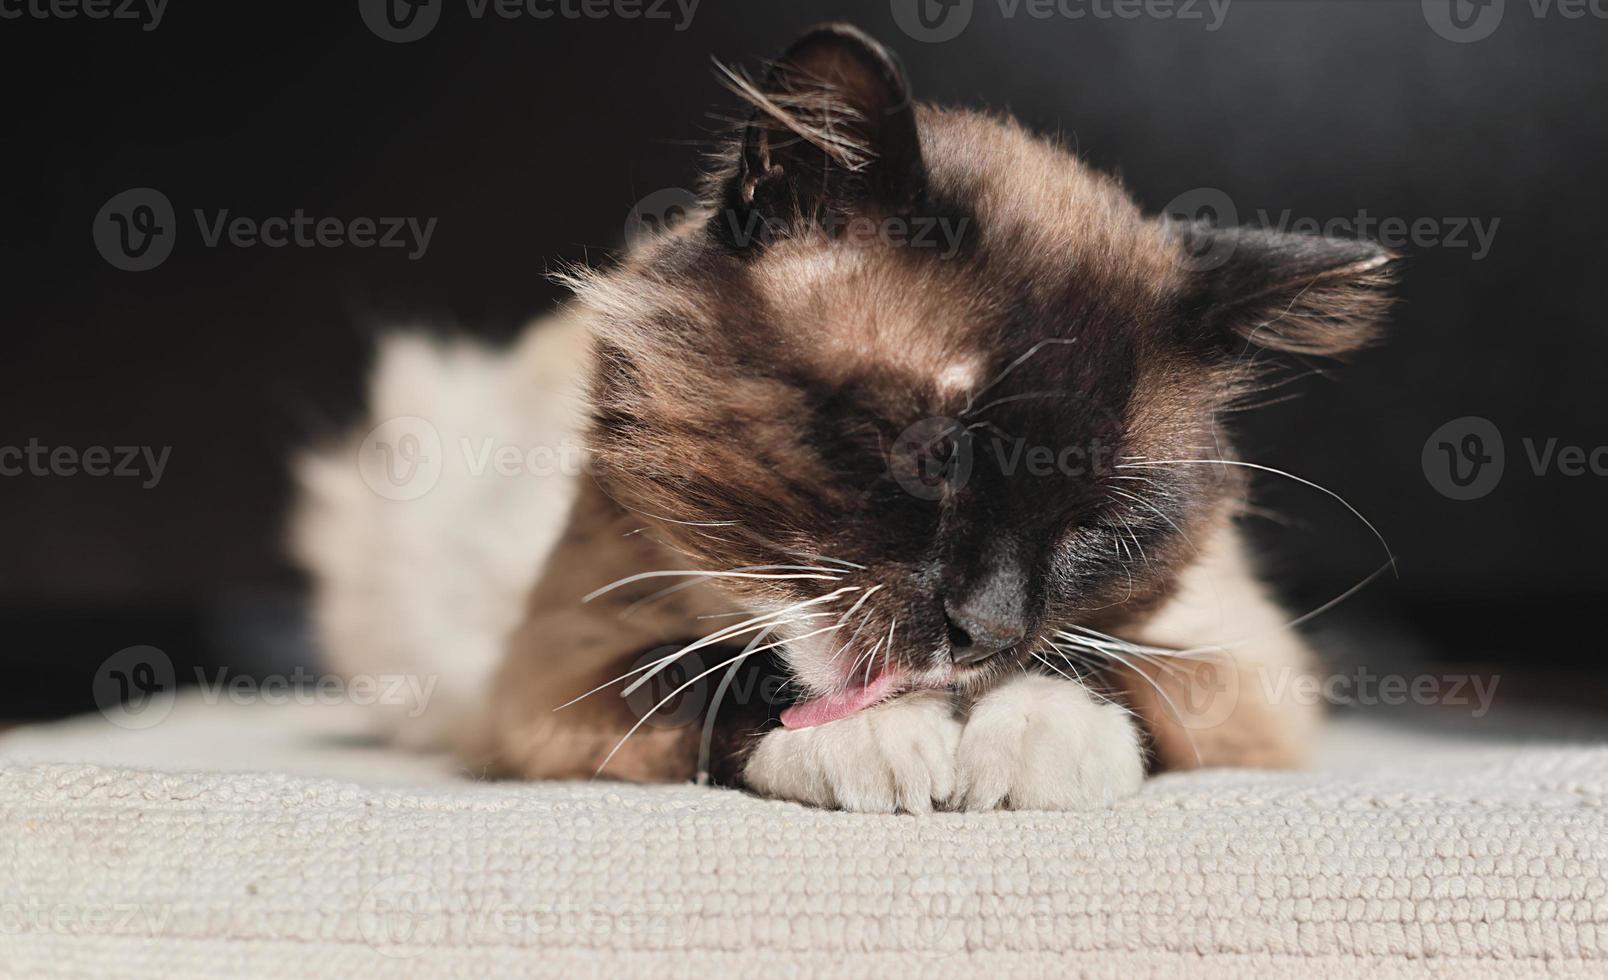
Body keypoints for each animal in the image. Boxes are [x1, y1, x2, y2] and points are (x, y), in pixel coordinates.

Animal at [292, 22, 1395, 814]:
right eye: (929, 458)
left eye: (1099, 527)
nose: (985, 625)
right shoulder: (554, 683)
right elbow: (719, 682)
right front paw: (874, 743)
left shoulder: (1248, 667)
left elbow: (1112, 668)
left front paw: (1029, 738)